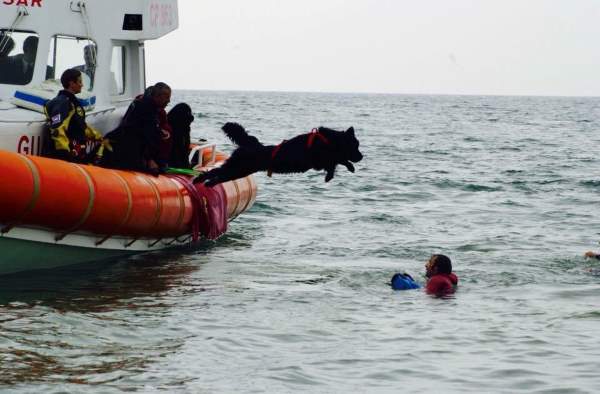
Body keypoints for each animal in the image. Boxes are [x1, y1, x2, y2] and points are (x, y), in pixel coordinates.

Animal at [195, 121, 364, 186]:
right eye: (355, 146)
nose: (361, 157)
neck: (330, 141)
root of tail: (252, 145)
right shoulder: (319, 159)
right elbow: (338, 159)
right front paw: (342, 170)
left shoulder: (321, 161)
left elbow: (336, 161)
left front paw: (332, 175)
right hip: (237, 168)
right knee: (215, 172)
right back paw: (199, 180)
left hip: (238, 171)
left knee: (217, 175)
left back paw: (206, 183)